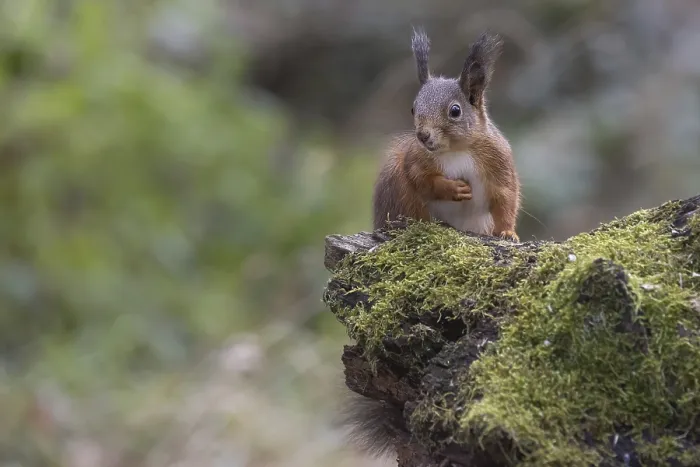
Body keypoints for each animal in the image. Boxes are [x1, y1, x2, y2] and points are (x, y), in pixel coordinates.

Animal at [372, 28, 521, 241]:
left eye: (455, 111)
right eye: (413, 108)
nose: (423, 135)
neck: (456, 150)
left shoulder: (499, 162)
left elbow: (506, 198)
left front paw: (508, 232)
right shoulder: (415, 159)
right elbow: (422, 179)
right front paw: (452, 188)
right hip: (396, 183)